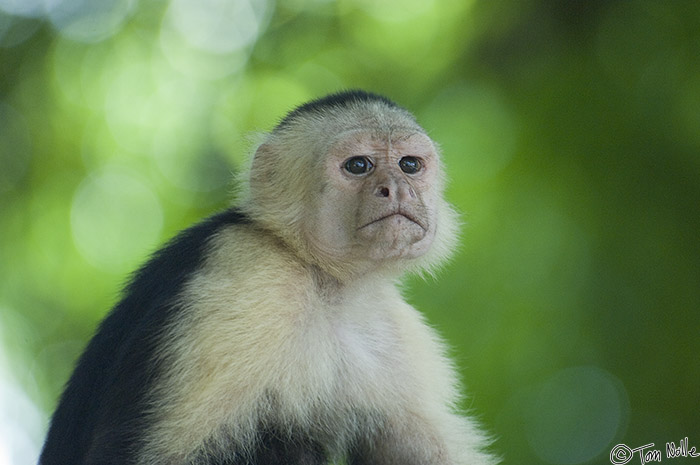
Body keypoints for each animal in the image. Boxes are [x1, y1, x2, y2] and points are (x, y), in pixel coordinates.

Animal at [41, 90, 494, 464]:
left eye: (409, 165)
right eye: (359, 165)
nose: (396, 188)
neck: (325, 281)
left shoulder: (399, 330)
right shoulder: (245, 275)